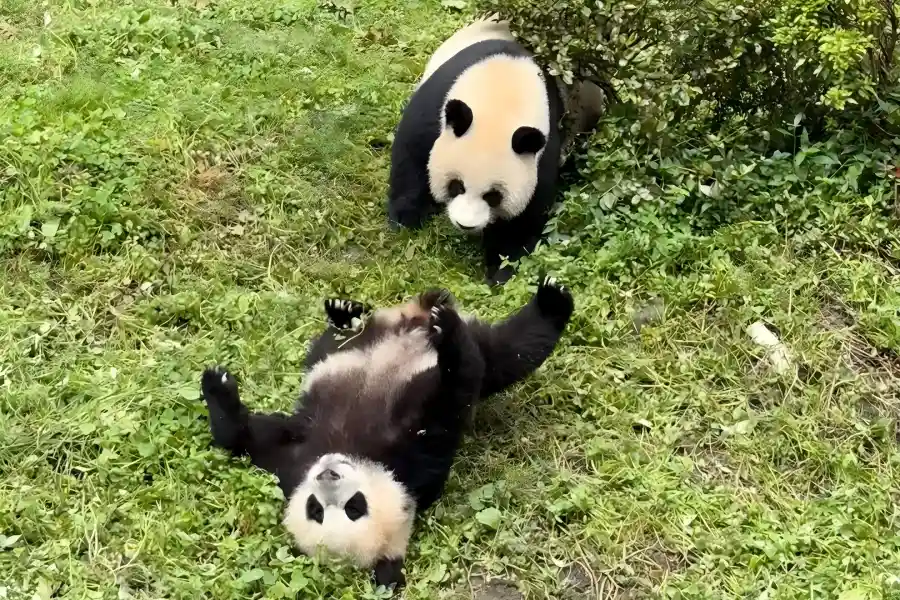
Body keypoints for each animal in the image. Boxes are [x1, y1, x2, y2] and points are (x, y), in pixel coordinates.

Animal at [199, 276, 575, 588]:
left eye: (353, 507)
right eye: (316, 510)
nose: (327, 474)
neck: (355, 451)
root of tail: (410, 318)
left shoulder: (400, 459)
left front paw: (216, 386)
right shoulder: (310, 460)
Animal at [387, 17, 565, 286]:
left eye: (493, 196)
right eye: (456, 185)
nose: (465, 225)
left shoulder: (543, 148)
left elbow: (525, 214)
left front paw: (500, 270)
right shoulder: (439, 103)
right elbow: (412, 153)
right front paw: (405, 218)